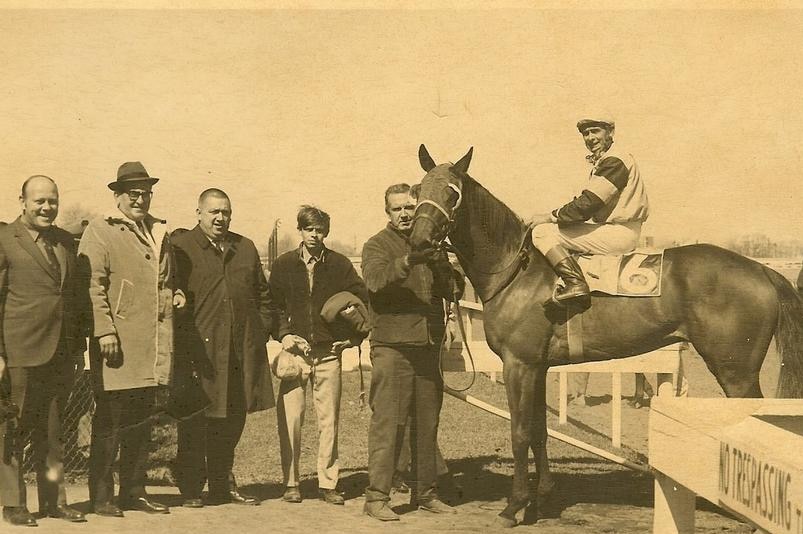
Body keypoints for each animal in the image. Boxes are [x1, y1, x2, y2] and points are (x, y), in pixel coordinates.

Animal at [408, 144, 803, 528]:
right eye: (418, 190)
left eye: (452, 193)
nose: (419, 243)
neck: (516, 271)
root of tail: (762, 270)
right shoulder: (538, 367)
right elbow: (539, 431)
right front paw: (544, 497)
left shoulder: (518, 365)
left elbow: (519, 434)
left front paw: (514, 506)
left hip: (736, 371)